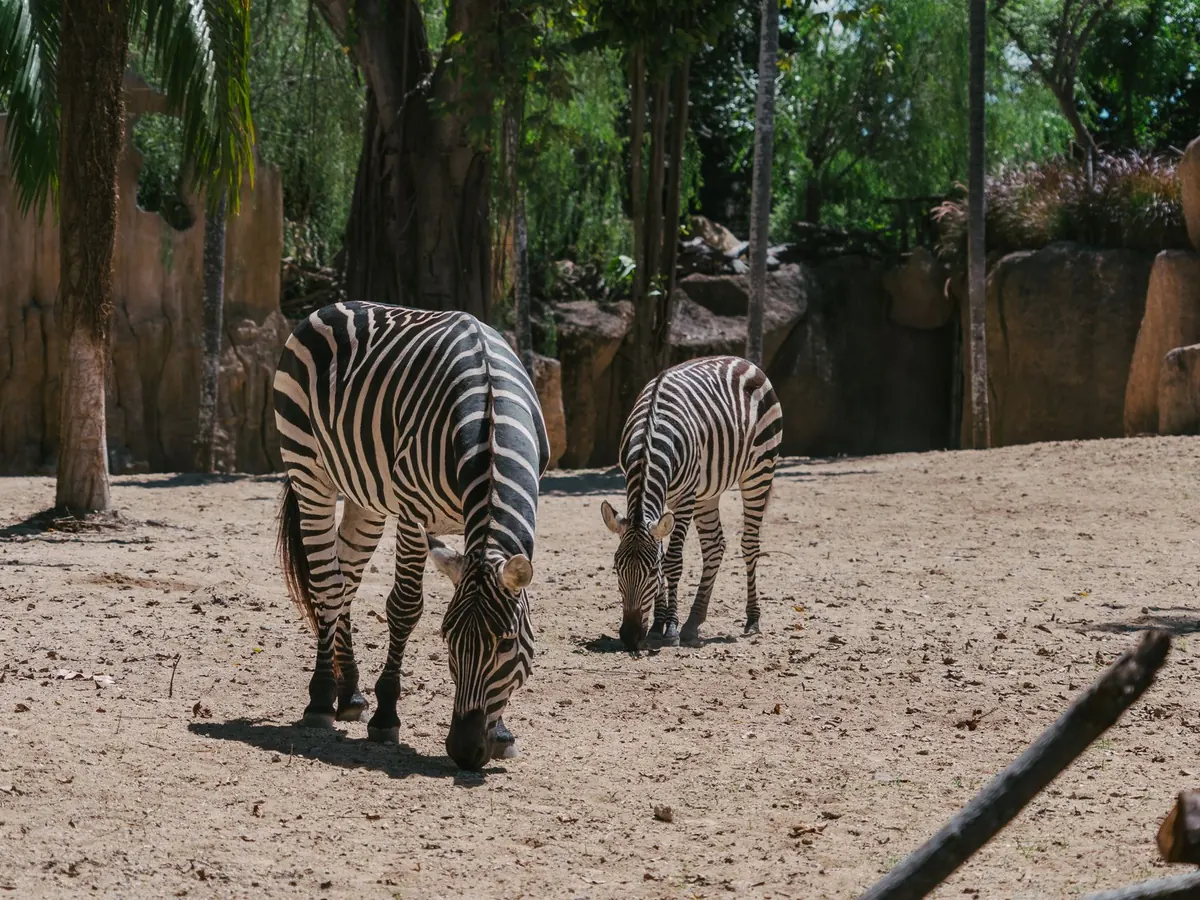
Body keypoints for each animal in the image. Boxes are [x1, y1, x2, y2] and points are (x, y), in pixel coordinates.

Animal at [272, 301, 549, 771]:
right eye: (447, 639)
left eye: (508, 642)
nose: (465, 751)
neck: (491, 410)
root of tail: (334, 306)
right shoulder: (414, 512)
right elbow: (404, 608)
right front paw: (386, 716)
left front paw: (503, 732)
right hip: (308, 470)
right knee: (327, 584)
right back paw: (322, 698)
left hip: (366, 496)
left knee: (346, 579)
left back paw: (350, 694)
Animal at [601, 356, 782, 651]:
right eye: (617, 568)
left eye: (652, 571)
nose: (629, 637)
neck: (651, 436)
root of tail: (742, 361)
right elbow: (664, 551)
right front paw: (658, 626)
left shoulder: (684, 498)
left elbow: (673, 561)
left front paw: (670, 628)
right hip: (707, 493)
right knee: (714, 546)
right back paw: (694, 621)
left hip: (759, 470)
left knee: (750, 544)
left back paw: (753, 619)